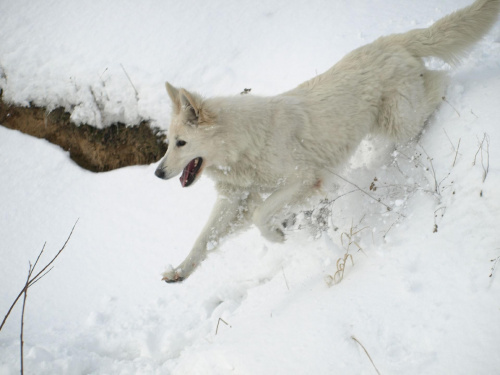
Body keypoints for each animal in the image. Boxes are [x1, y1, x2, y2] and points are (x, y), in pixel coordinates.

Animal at [154, 0, 498, 282]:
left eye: (181, 143)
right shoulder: (236, 199)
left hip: (400, 121)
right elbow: (203, 239)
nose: (157, 173)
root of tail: (390, 41)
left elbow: (261, 215)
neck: (241, 146)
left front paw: (278, 235)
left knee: (443, 82)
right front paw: (179, 271)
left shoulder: (303, 178)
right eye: (169, 143)